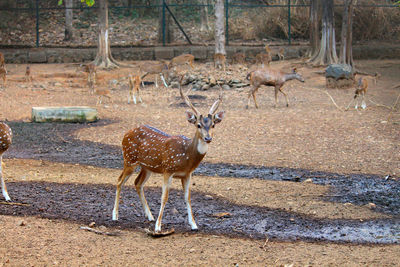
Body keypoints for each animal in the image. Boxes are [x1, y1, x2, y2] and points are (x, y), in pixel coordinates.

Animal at [112, 83, 225, 234]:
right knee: (119, 181)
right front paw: (158, 227)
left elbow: (188, 198)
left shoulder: (187, 174)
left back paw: (150, 216)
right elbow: (164, 197)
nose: (208, 138)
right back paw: (115, 215)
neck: (186, 157)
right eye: (198, 125)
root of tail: (125, 134)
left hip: (146, 167)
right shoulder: (168, 169)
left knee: (137, 183)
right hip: (129, 159)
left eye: (213, 124)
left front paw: (194, 225)